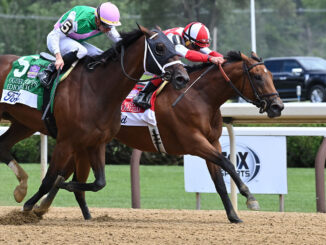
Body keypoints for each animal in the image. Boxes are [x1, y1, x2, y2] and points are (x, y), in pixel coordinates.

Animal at [0, 26, 188, 210]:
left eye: (173, 45)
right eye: (160, 48)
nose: (183, 78)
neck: (97, 89)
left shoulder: (96, 142)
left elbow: (99, 182)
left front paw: (66, 185)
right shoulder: (65, 142)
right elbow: (48, 180)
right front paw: (30, 205)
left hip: (24, 124)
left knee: (4, 146)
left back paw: (21, 187)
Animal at [37, 49, 284, 222]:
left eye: (271, 75)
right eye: (257, 77)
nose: (278, 106)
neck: (200, 96)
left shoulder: (211, 142)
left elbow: (219, 181)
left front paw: (233, 216)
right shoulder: (194, 142)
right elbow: (228, 164)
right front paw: (250, 198)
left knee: (63, 176)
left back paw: (43, 207)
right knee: (61, 175)